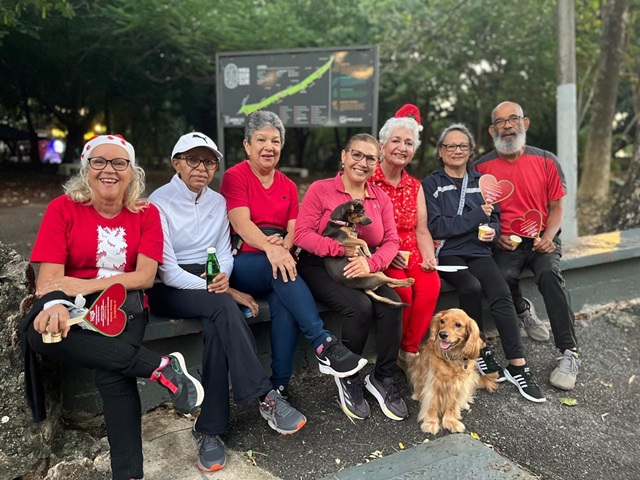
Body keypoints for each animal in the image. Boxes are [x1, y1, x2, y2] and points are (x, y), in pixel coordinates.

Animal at [408, 308, 498, 436]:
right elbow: (432, 403)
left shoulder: (458, 384)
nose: (442, 334)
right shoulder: (434, 383)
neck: (452, 357)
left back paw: (464, 403)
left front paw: (450, 421)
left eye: (458, 325)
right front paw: (431, 423)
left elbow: (451, 404)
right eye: (442, 321)